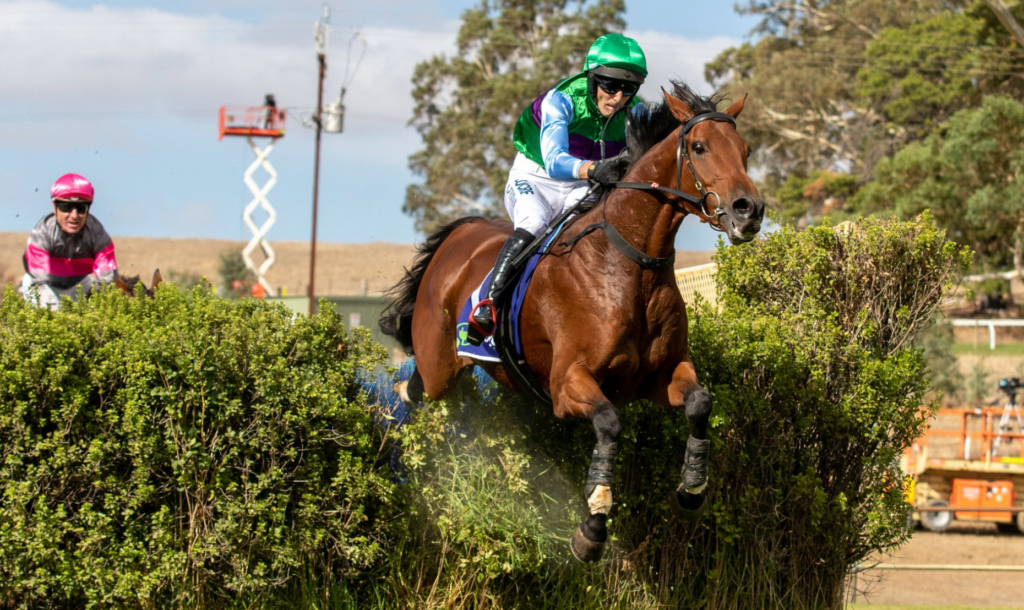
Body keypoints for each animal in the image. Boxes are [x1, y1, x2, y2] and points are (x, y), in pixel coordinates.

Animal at [379, 82, 764, 563]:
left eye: (746, 150)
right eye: (699, 147)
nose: (750, 210)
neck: (628, 265)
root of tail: (459, 235)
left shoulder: (661, 375)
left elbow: (699, 403)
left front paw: (691, 489)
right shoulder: (567, 384)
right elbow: (609, 423)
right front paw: (593, 525)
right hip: (439, 368)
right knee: (417, 388)